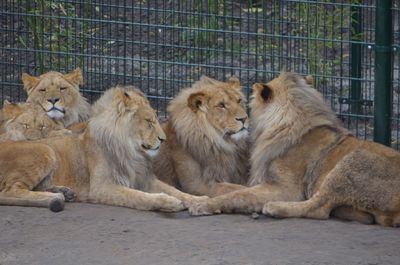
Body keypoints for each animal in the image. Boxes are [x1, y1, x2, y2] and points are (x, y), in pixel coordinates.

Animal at [0, 85, 206, 211]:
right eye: (149, 121)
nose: (163, 139)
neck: (132, 152)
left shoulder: (144, 179)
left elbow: (177, 191)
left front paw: (199, 201)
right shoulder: (103, 187)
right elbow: (139, 197)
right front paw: (167, 202)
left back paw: (63, 192)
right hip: (46, 150)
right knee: (9, 192)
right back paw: (55, 198)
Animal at [189, 71, 400, 226]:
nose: (243, 119)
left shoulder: (287, 188)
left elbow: (238, 195)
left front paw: (203, 204)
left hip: (353, 159)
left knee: (318, 208)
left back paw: (274, 207)